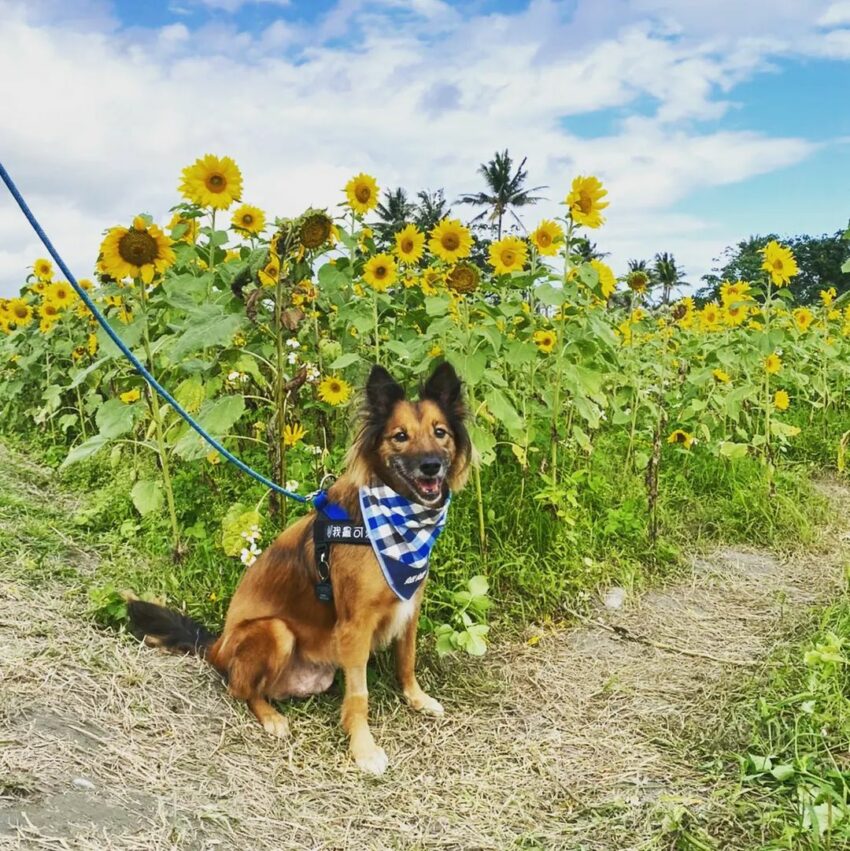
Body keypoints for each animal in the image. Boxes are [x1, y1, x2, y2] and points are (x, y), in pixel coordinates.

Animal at [126, 362, 470, 776]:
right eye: (400, 436)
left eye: (440, 432)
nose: (431, 466)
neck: (393, 523)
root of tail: (216, 645)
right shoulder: (355, 626)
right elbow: (359, 695)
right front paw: (364, 748)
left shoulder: (409, 604)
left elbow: (407, 660)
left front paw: (417, 699)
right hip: (275, 631)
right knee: (239, 689)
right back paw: (271, 717)